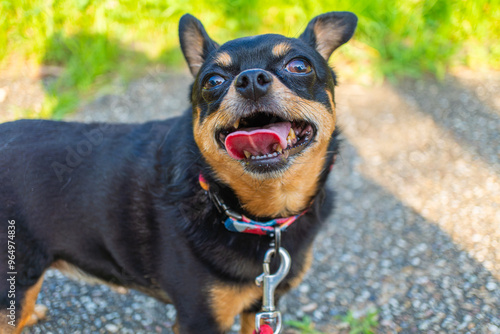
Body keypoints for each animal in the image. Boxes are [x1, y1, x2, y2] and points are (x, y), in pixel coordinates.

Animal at [1, 11, 358, 334]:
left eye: (299, 65)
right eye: (213, 81)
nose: (251, 80)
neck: (259, 217)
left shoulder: (262, 304)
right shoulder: (201, 319)